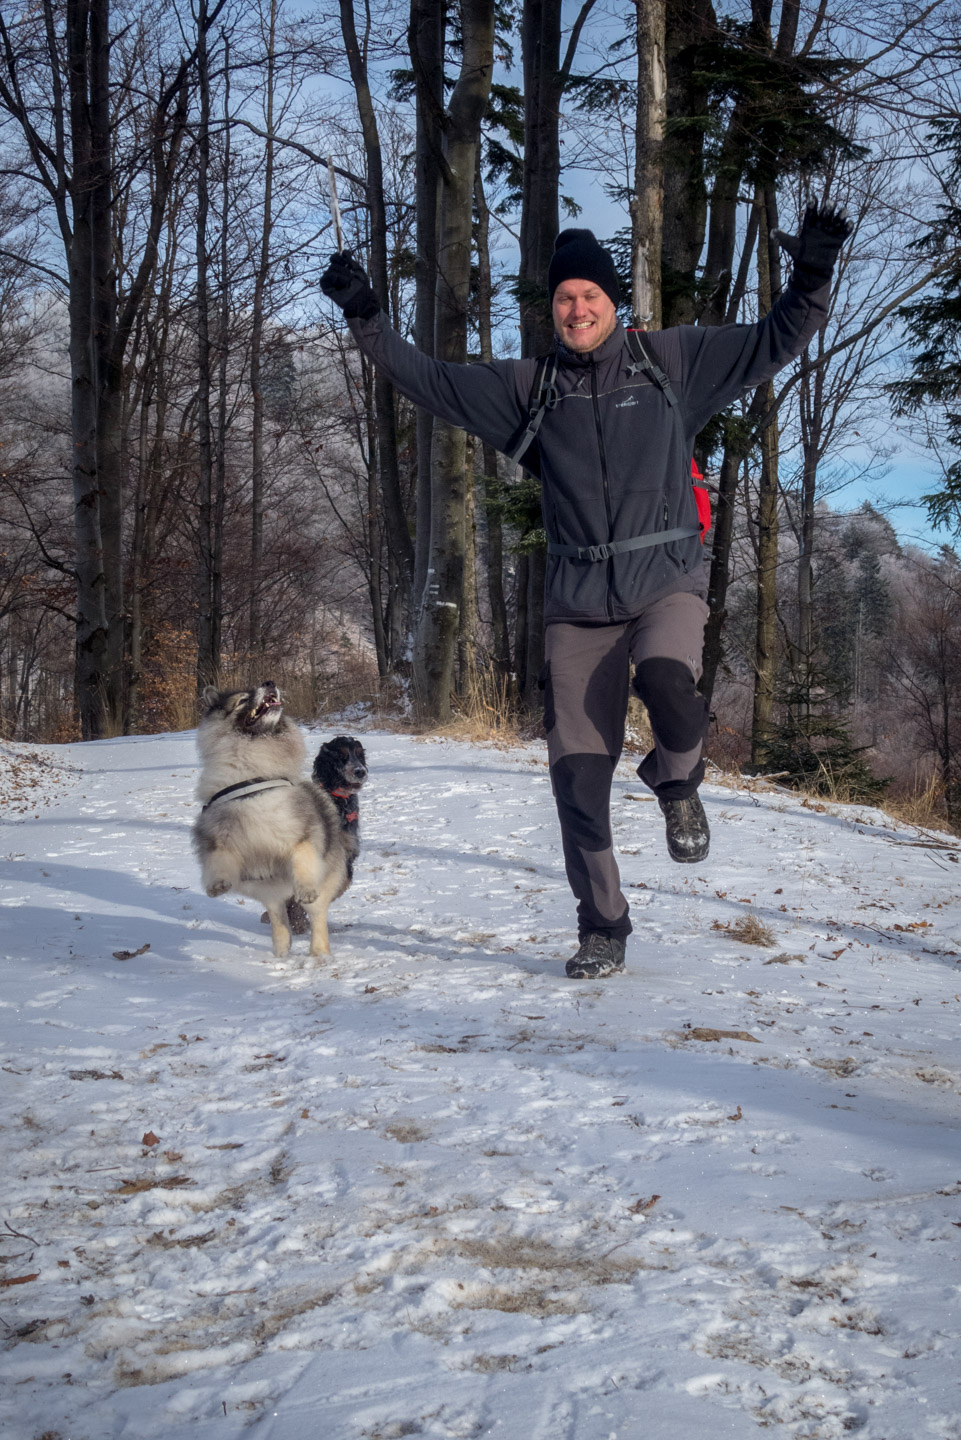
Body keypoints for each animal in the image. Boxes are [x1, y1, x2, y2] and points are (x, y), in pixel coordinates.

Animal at [193, 679, 347, 961]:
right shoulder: (219, 835)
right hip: (267, 889)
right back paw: (281, 951)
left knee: (317, 917)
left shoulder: (302, 836)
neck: (253, 774)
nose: (269, 682)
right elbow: (219, 859)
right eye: (242, 700)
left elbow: (303, 860)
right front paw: (217, 885)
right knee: (279, 917)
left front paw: (305, 889)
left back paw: (319, 954)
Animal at [263, 737, 368, 938]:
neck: (337, 801)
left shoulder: (346, 852)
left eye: (360, 755)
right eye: (341, 755)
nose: (361, 771)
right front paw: (296, 920)